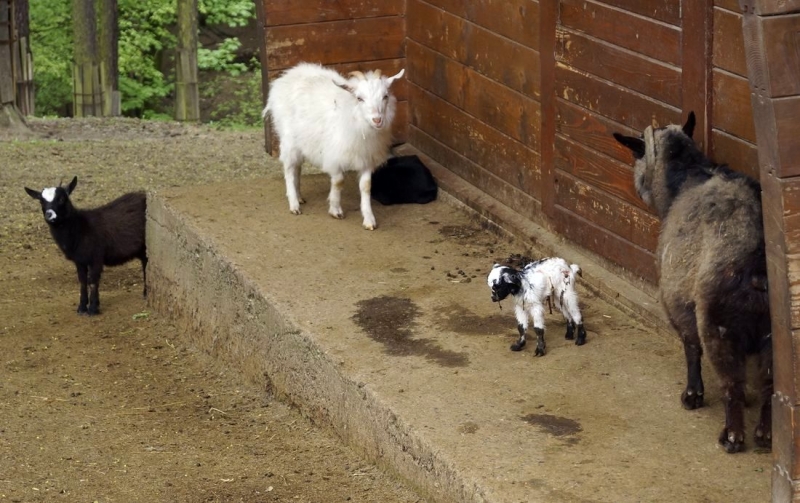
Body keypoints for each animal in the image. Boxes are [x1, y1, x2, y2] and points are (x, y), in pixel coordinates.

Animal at [264, 61, 406, 232]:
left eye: (385, 96)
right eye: (359, 98)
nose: (377, 120)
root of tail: (288, 74)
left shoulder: (366, 157)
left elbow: (366, 186)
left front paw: (369, 220)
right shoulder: (334, 155)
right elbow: (338, 181)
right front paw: (335, 209)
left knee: (297, 167)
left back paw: (299, 196)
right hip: (289, 139)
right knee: (289, 169)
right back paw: (294, 204)